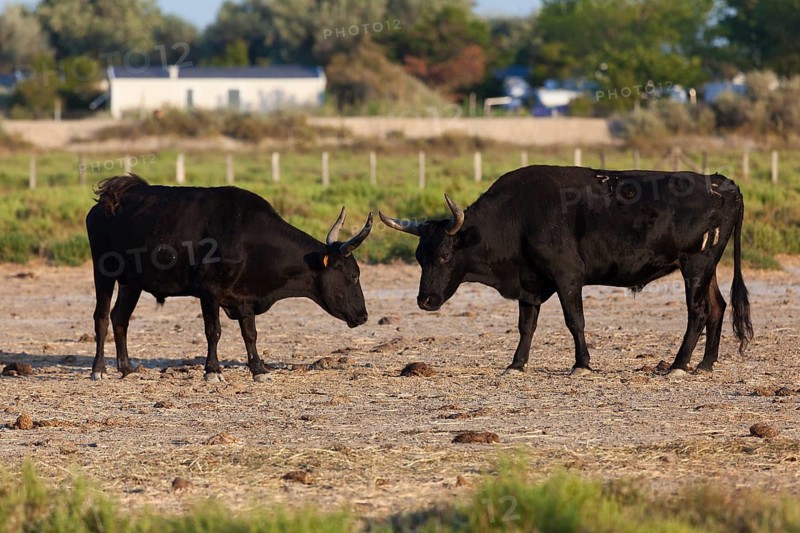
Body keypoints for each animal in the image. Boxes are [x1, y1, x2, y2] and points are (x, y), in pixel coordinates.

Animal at [86, 174, 373, 382]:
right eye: (353, 275)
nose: (363, 316)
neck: (249, 239)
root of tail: (109, 199)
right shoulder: (209, 292)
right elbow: (213, 331)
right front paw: (213, 370)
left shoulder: (245, 298)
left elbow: (250, 333)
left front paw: (258, 369)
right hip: (103, 272)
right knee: (101, 318)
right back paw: (98, 369)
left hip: (131, 283)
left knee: (120, 318)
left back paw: (126, 368)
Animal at [380, 165, 753, 376]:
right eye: (419, 256)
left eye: (444, 255)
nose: (425, 300)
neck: (518, 214)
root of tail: (721, 183)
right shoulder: (530, 282)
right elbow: (526, 325)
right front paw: (516, 364)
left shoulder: (567, 276)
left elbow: (575, 321)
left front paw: (582, 364)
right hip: (707, 268)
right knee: (717, 307)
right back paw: (705, 363)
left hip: (695, 265)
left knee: (698, 311)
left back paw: (678, 365)